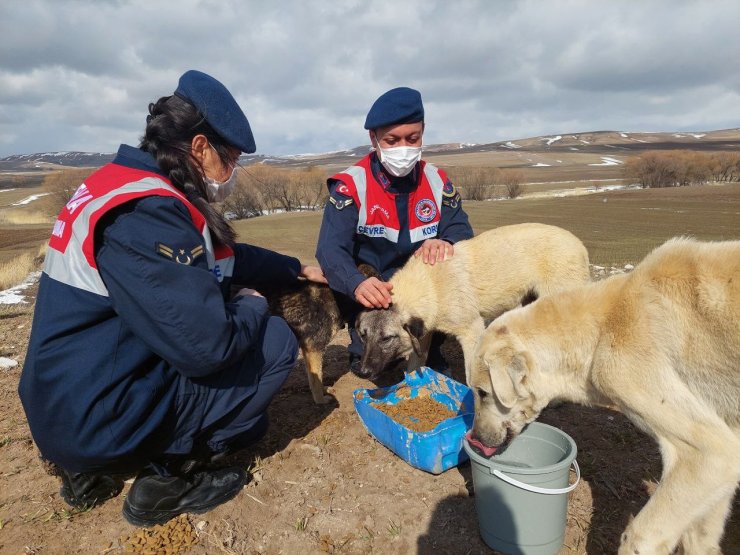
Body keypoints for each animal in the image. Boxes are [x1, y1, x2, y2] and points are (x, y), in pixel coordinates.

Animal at [356, 222, 592, 382]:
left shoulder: (472, 332)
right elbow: (413, 367)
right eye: (363, 335)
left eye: (387, 338)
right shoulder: (423, 335)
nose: (363, 372)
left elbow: (472, 377)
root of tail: (579, 245)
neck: (429, 283)